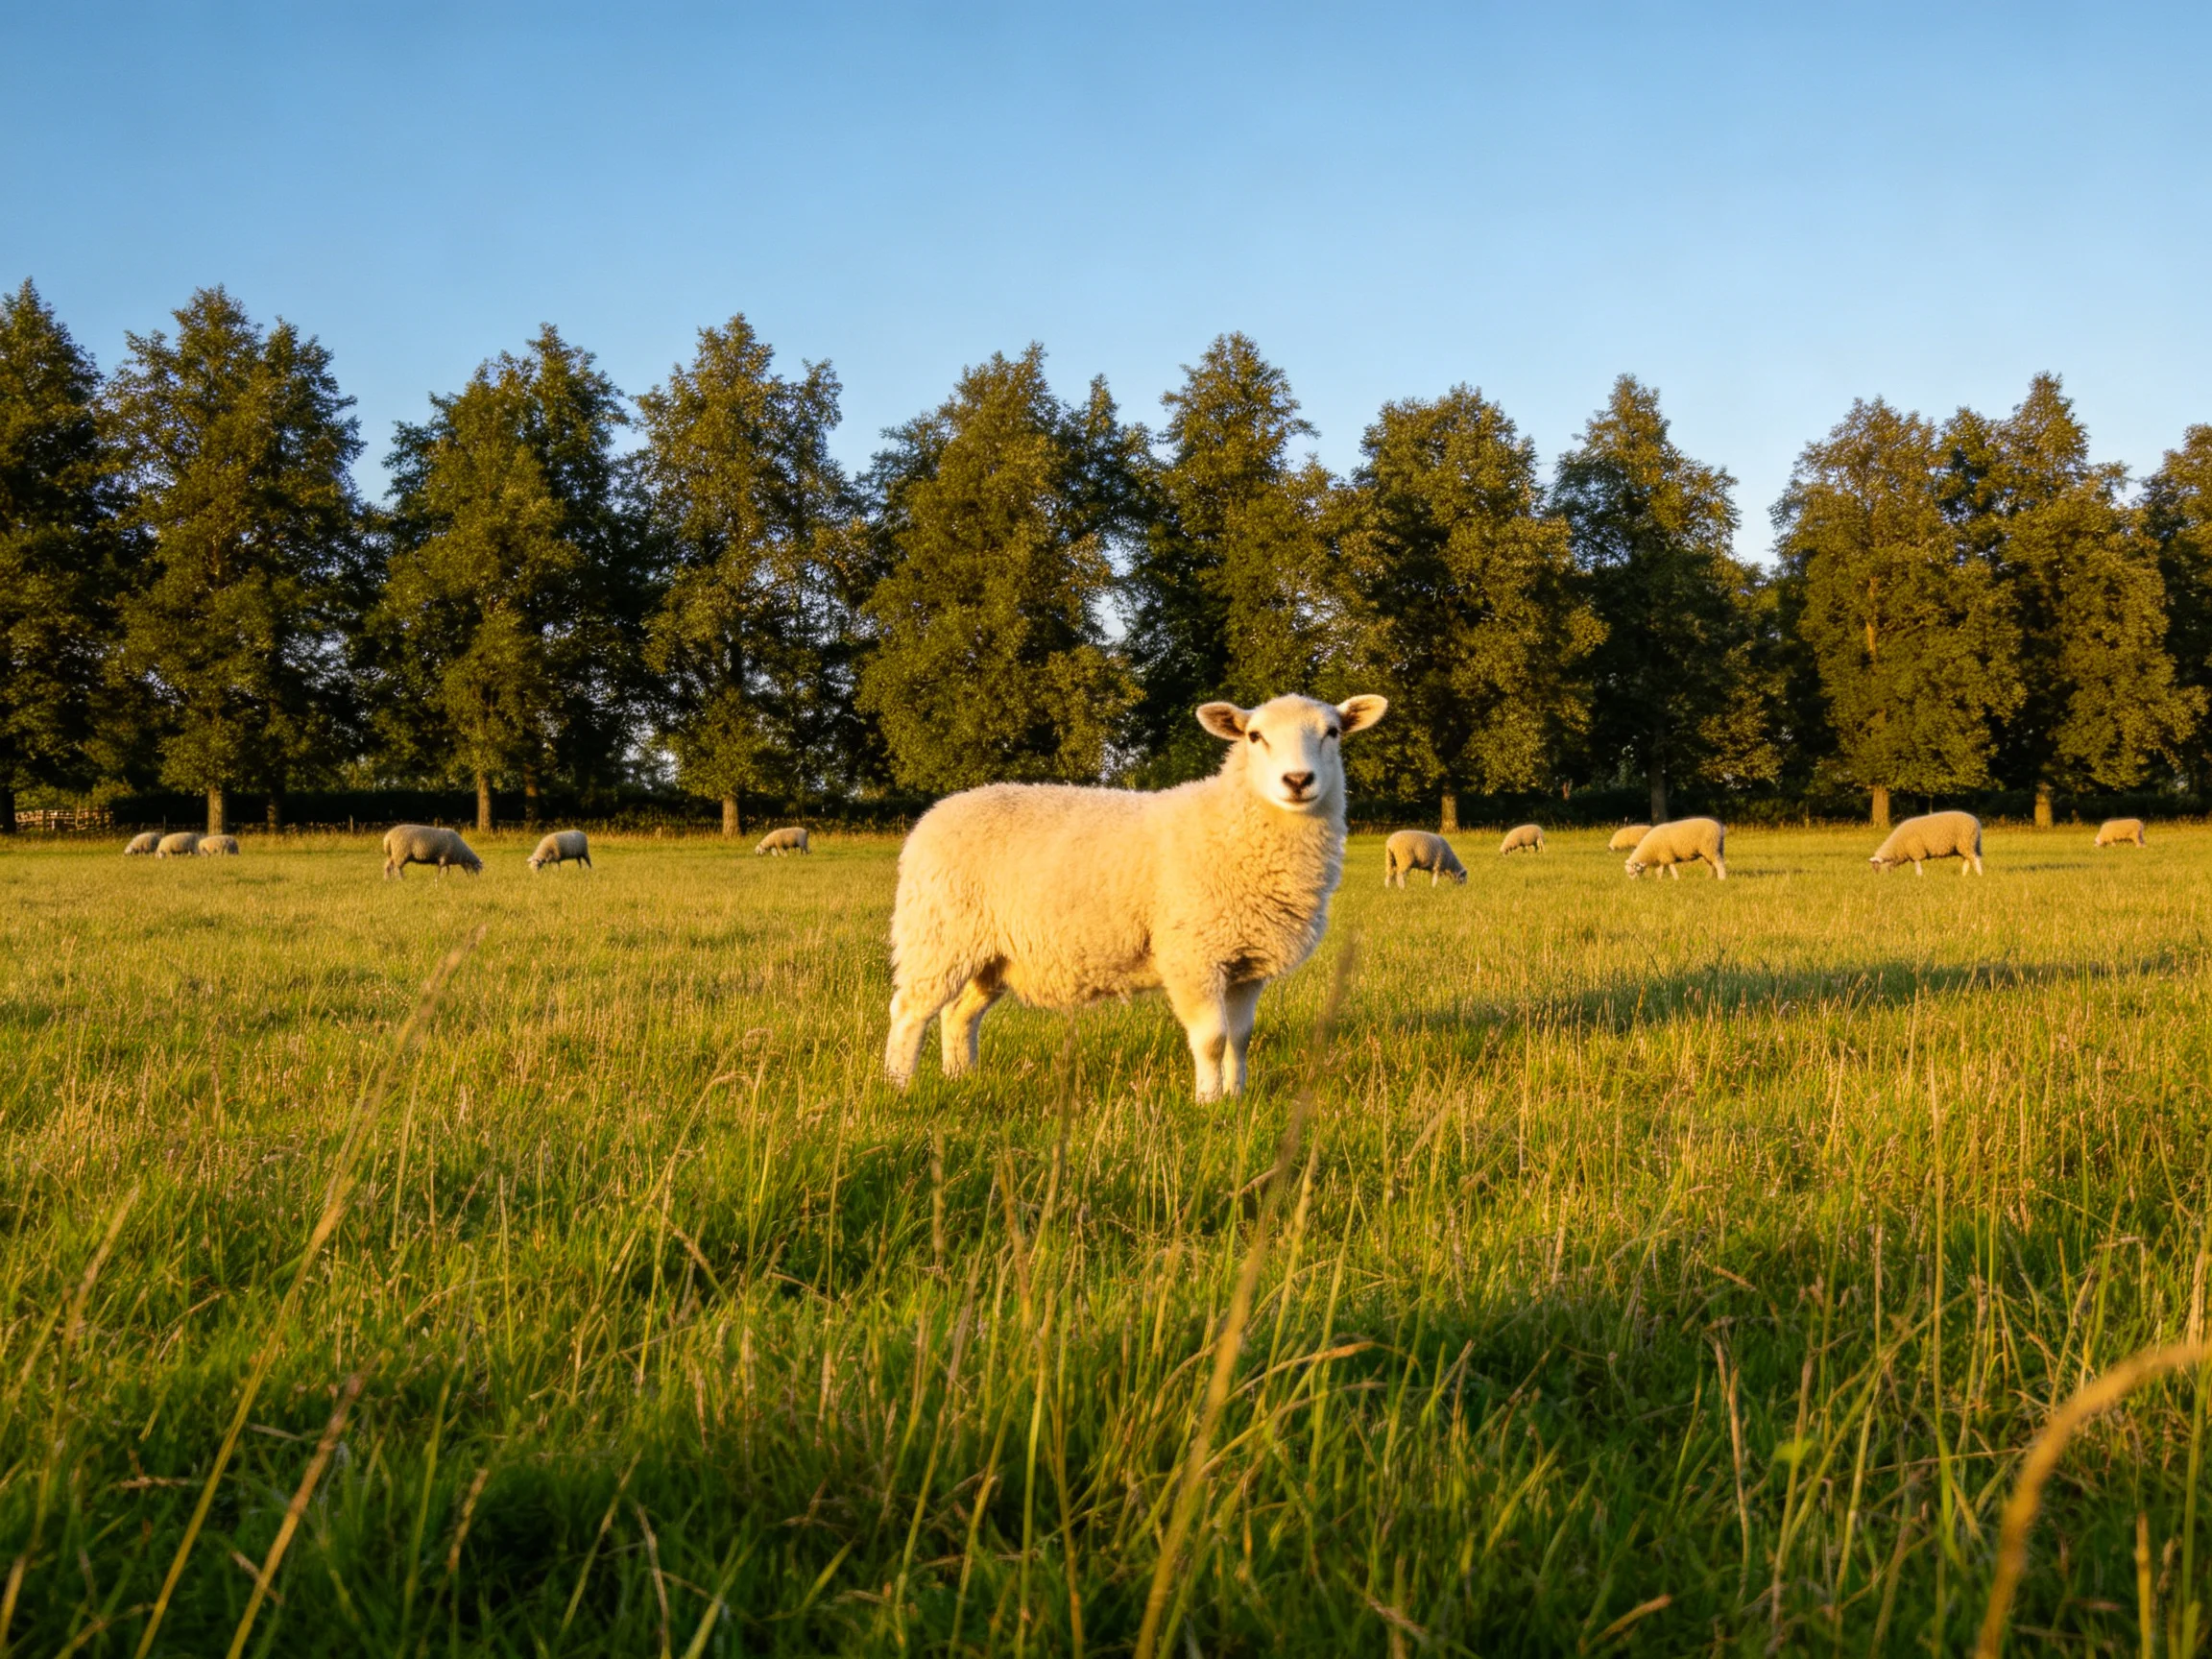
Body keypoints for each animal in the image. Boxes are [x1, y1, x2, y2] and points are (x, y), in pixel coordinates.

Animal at [885, 692, 1388, 1102]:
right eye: (1254, 736)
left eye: (1332, 732)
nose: (1298, 780)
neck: (1232, 825)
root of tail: (937, 812)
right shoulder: (1192, 954)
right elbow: (1212, 1039)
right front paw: (1208, 1103)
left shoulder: (1246, 963)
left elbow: (1240, 1038)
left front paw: (1237, 1097)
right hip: (939, 934)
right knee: (909, 1011)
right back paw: (899, 1086)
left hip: (991, 953)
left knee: (958, 1015)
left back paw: (961, 1078)